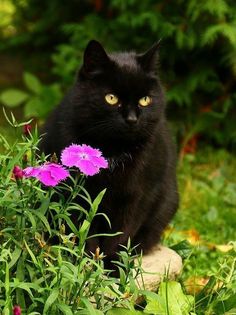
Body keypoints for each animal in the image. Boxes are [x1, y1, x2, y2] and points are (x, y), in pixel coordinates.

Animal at [39, 40, 178, 264]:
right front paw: (87, 262)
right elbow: (85, 230)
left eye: (145, 100)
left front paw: (112, 265)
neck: (113, 150)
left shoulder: (137, 196)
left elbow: (121, 234)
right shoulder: (81, 192)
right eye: (111, 98)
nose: (132, 119)